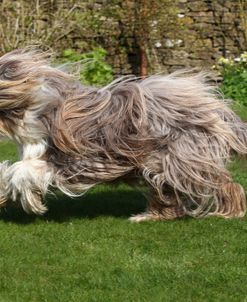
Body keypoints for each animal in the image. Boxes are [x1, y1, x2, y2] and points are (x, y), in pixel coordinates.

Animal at [0, 47, 247, 222]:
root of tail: (217, 110)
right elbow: (13, 172)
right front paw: (7, 197)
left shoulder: (76, 160)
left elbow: (22, 171)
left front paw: (31, 201)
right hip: (162, 163)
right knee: (168, 191)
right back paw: (150, 216)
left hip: (182, 158)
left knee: (221, 184)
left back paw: (229, 211)